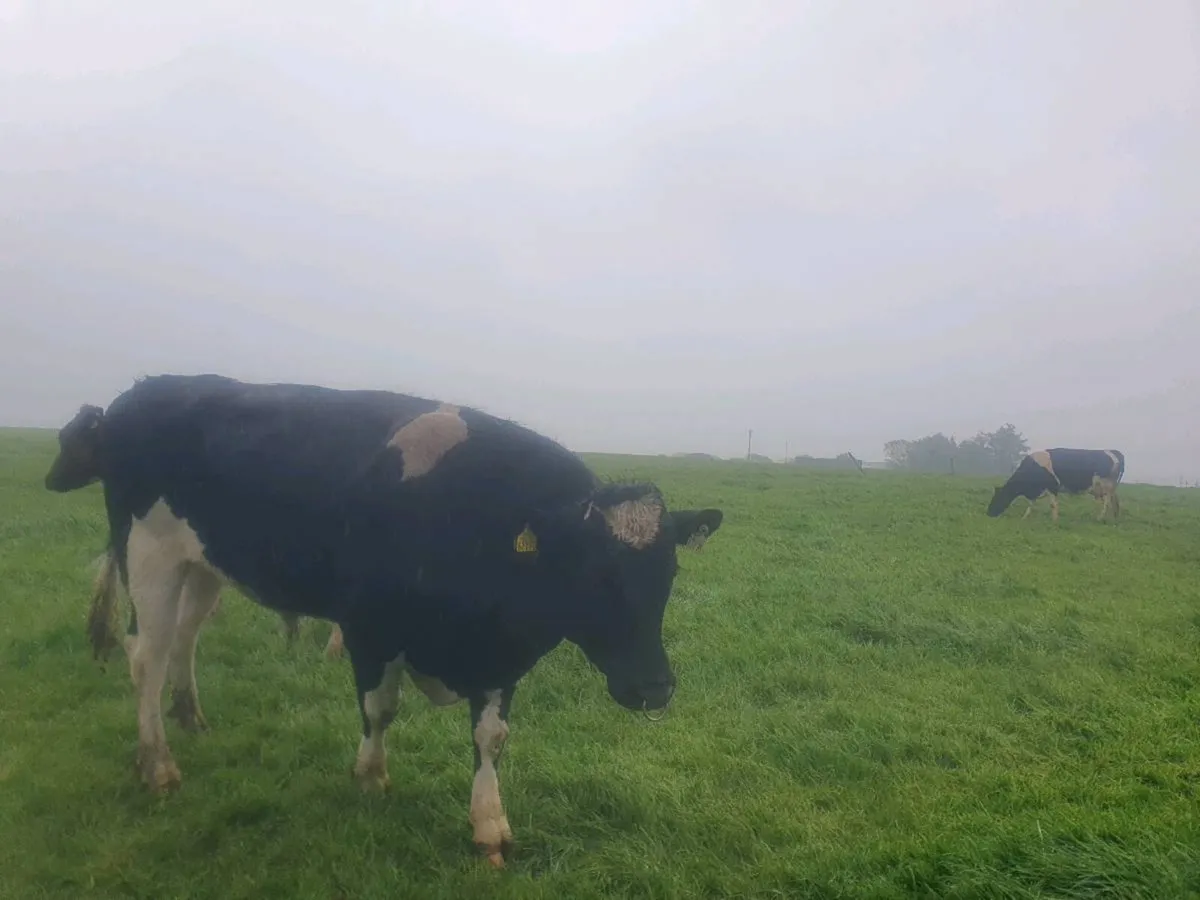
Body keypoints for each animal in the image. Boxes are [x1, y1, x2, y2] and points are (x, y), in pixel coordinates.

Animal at [44, 374, 724, 867]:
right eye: (593, 575)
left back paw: (192, 717)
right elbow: (380, 709)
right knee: (147, 657)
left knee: (184, 638)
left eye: (669, 573)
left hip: (202, 563)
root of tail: (144, 390)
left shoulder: (502, 653)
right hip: (148, 555)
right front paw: (371, 778)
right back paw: (158, 763)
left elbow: (491, 738)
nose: (654, 687)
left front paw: (489, 825)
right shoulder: (368, 627)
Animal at [986, 448, 1125, 522]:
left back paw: (1099, 518)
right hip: (1108, 488)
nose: (989, 513)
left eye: (998, 497)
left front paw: (1054, 520)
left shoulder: (1052, 487)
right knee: (1114, 501)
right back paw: (1114, 518)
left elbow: (1053, 505)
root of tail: (1113, 451)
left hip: (1105, 486)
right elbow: (1031, 504)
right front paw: (1024, 517)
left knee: (1106, 502)